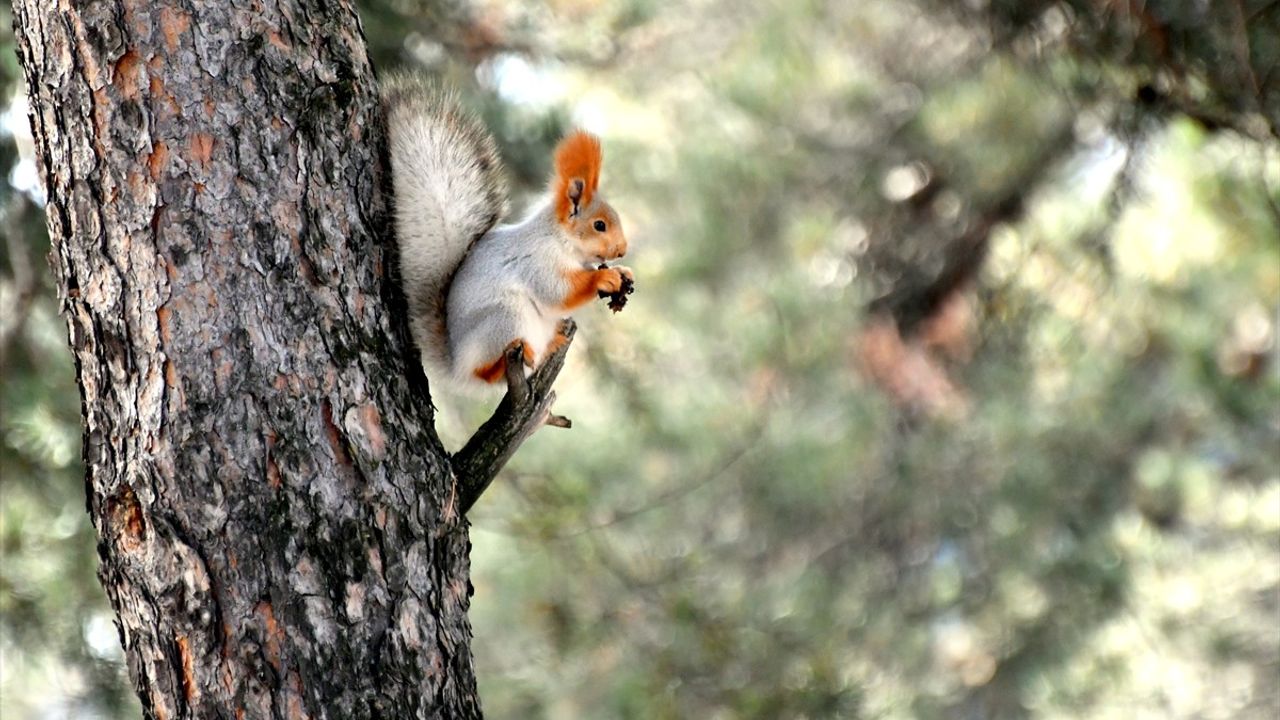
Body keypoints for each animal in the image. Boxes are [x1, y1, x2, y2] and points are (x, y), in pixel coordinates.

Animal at [384, 75, 634, 389]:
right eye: (599, 225)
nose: (622, 250)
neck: (561, 241)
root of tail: (456, 365)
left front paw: (623, 272)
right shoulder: (536, 260)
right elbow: (557, 293)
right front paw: (604, 278)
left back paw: (550, 345)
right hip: (504, 318)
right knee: (486, 372)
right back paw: (503, 363)